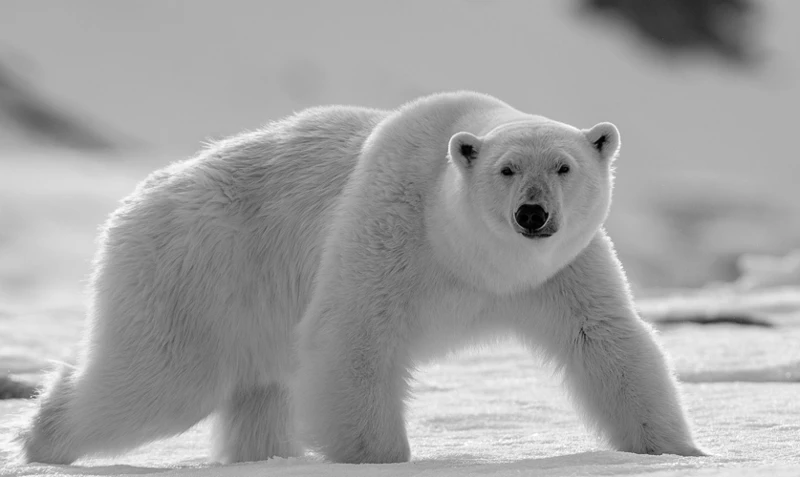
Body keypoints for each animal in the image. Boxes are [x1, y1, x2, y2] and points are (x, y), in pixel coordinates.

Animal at [18, 91, 704, 462]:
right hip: (196, 272)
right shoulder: (389, 227)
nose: (532, 215)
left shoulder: (559, 271)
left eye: (564, 166)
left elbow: (606, 340)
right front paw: (381, 457)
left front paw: (679, 450)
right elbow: (354, 336)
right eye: (507, 169)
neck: (471, 258)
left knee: (257, 393)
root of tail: (138, 200)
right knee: (159, 381)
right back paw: (41, 440)